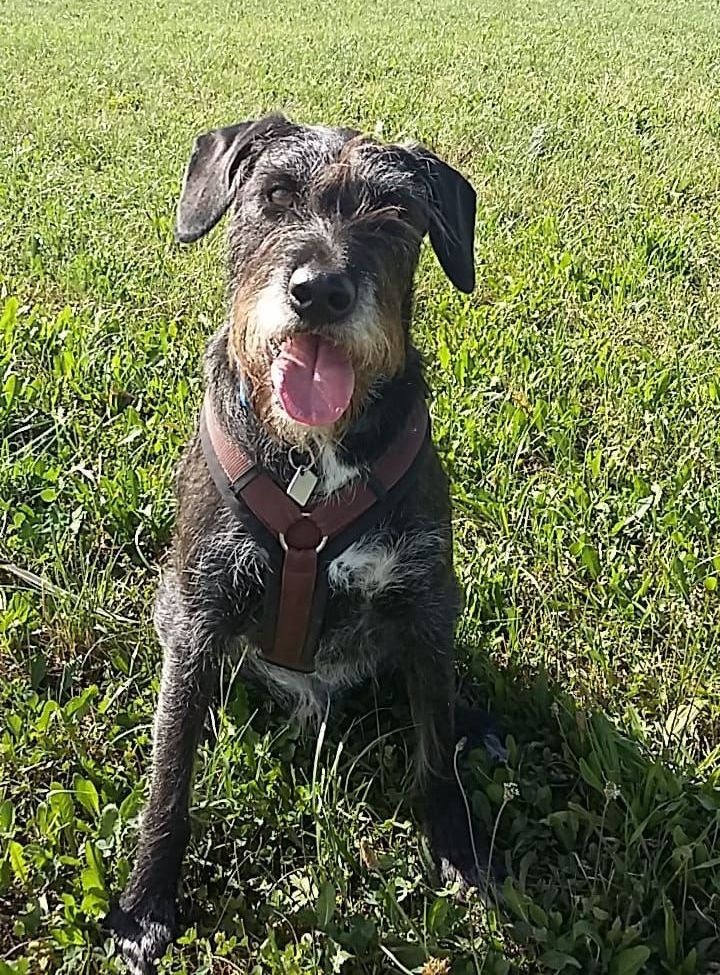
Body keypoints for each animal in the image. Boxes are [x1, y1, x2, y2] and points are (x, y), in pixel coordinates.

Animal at [108, 115, 497, 973]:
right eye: (277, 194)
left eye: (394, 213)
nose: (319, 291)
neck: (315, 460)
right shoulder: (200, 609)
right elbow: (168, 775)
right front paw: (145, 903)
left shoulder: (427, 599)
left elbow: (433, 746)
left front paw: (457, 849)